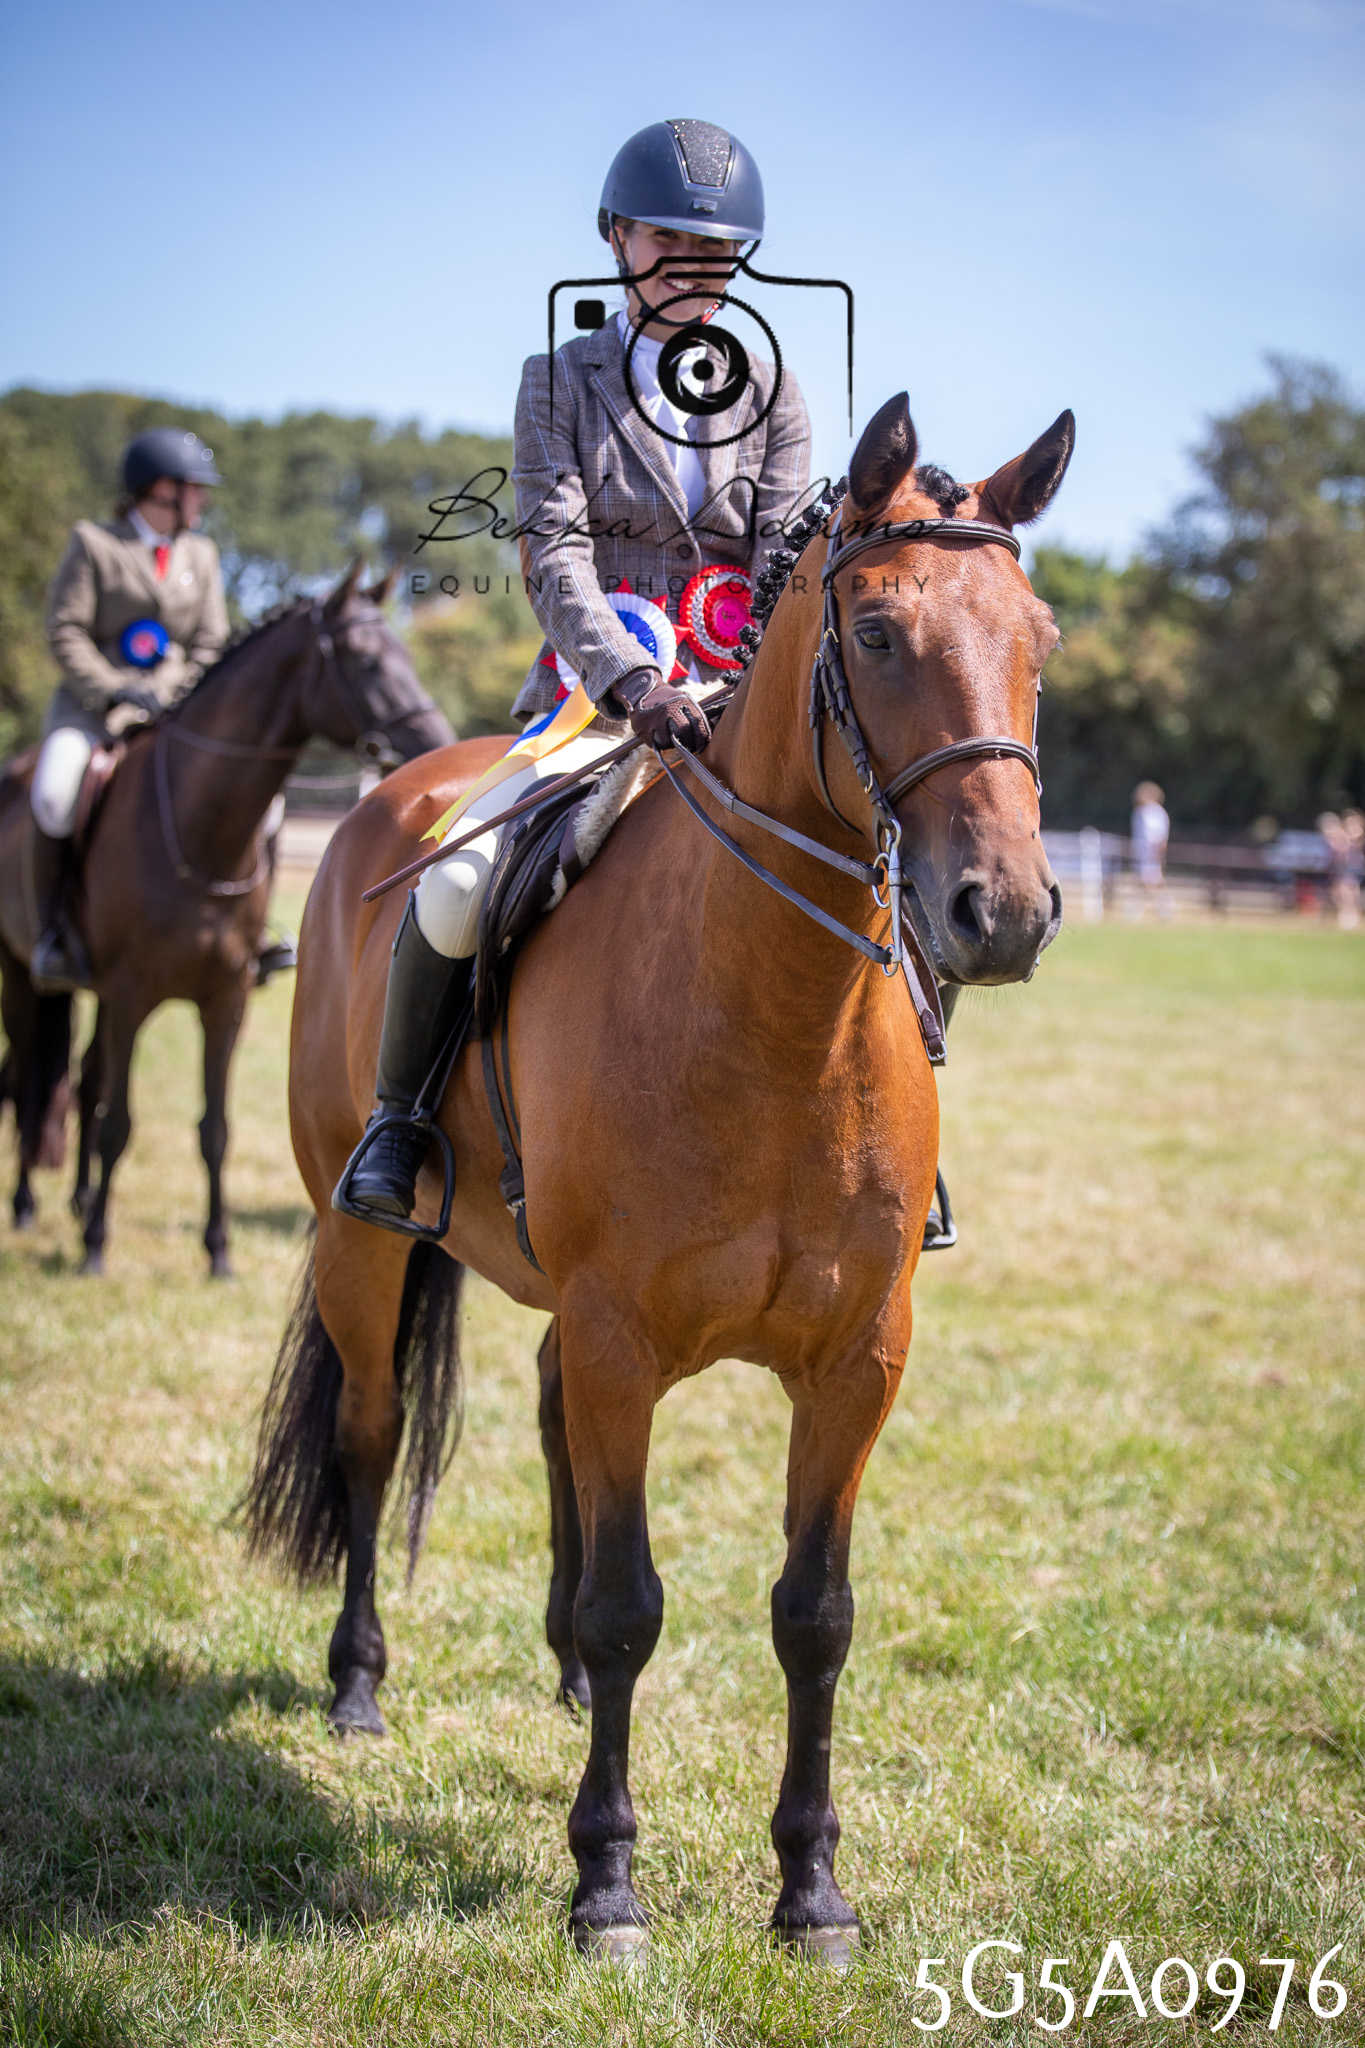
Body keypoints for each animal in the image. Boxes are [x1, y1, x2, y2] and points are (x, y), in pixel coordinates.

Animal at [0, 563, 453, 1277]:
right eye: (364, 658)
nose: (436, 742)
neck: (198, 830)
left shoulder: (225, 999)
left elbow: (214, 1129)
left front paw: (216, 1250)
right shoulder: (130, 996)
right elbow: (118, 1121)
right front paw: (97, 1245)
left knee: (84, 1078)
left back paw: (75, 1201)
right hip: (26, 977)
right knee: (29, 1076)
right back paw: (26, 1205)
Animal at [245, 393, 1073, 1964]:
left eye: (1041, 637)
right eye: (879, 633)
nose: (1000, 914)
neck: (777, 1013)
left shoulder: (859, 1358)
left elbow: (816, 1614)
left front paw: (812, 1891)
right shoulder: (626, 1334)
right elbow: (634, 1604)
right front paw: (608, 1884)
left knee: (550, 1424)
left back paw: (558, 1677)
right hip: (359, 1242)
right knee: (373, 1436)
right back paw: (359, 1682)